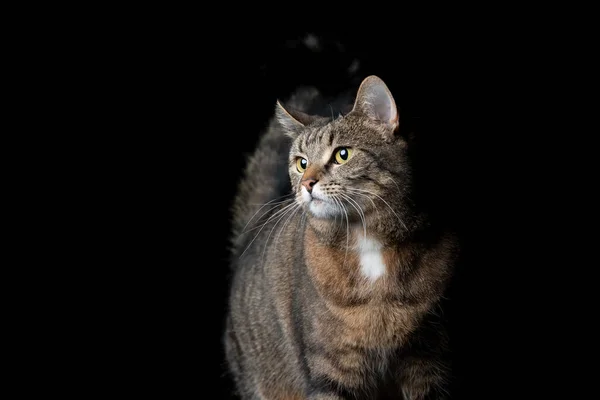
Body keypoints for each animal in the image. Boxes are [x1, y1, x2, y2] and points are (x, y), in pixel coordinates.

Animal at [225, 76, 460, 400]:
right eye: (301, 162)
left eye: (342, 155)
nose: (307, 183)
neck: (369, 244)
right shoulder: (332, 368)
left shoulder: (428, 361)